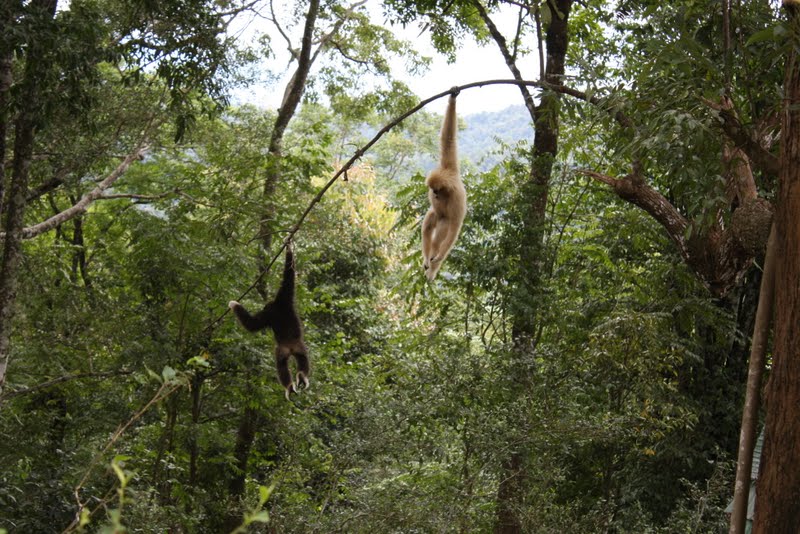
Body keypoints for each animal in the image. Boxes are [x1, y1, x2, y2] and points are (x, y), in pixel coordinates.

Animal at [229, 243, 309, 400]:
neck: (276, 307)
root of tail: (290, 347)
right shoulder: (283, 300)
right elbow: (289, 276)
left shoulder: (278, 303)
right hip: (294, 347)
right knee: (295, 361)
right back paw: (298, 379)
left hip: (289, 348)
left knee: (286, 364)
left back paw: (294, 383)